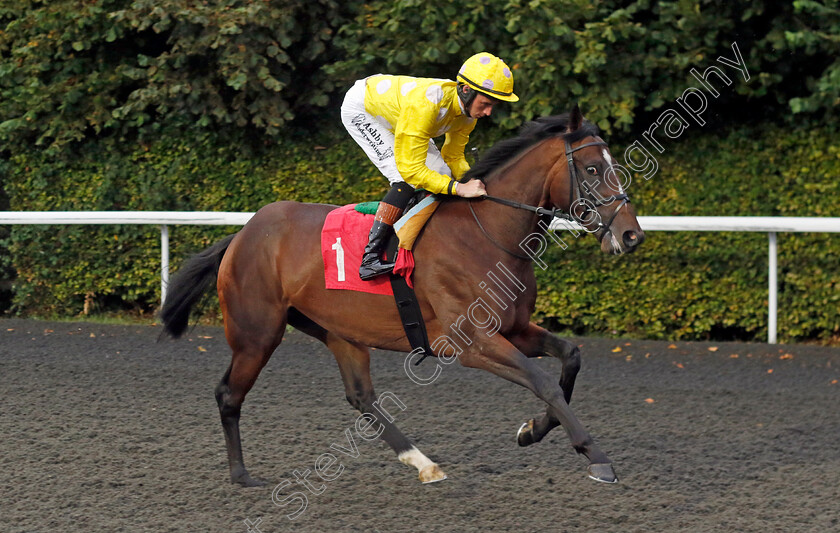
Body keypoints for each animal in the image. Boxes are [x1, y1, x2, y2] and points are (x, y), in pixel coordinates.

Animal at [159, 107, 644, 486]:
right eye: (593, 169)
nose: (631, 235)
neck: (487, 234)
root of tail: (243, 234)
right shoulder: (472, 343)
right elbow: (544, 382)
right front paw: (596, 456)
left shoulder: (516, 328)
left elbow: (570, 359)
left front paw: (532, 430)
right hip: (257, 334)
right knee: (228, 394)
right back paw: (241, 475)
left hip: (338, 332)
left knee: (361, 398)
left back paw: (424, 464)